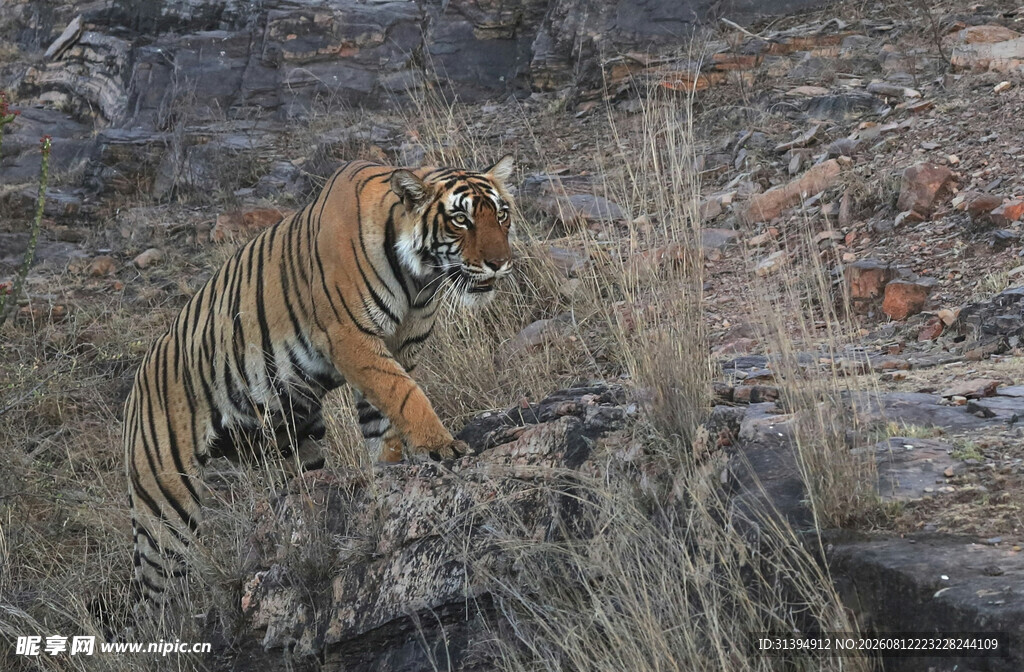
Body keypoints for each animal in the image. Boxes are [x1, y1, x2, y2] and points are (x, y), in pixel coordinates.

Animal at [123, 156, 516, 606]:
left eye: (501, 215)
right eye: (460, 220)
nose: (500, 262)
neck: (418, 281)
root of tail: (135, 387)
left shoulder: (398, 349)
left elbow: (385, 422)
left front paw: (389, 472)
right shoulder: (353, 340)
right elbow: (405, 395)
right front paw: (441, 445)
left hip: (291, 440)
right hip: (165, 509)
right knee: (158, 591)